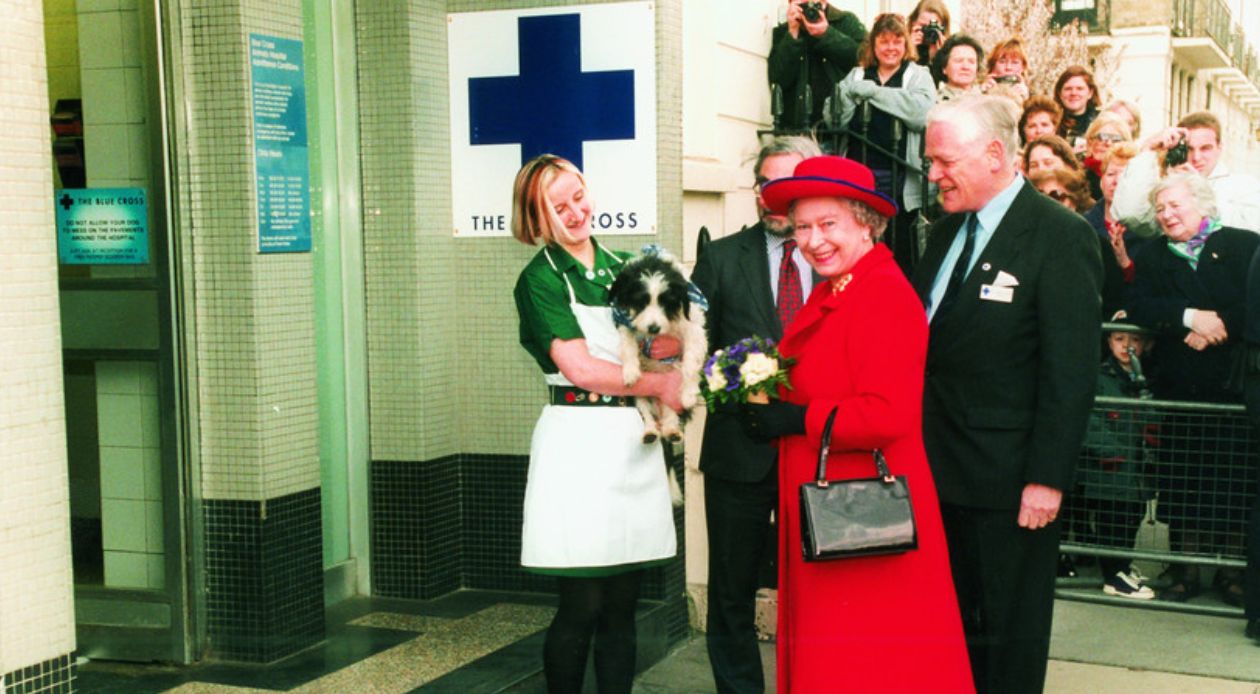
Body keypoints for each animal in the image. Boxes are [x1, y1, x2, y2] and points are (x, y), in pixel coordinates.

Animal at [609, 248, 710, 445]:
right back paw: (650, 432)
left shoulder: (693, 326)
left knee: (670, 414)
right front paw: (630, 371)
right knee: (646, 413)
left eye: (666, 302)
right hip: (641, 397)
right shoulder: (625, 321)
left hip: (668, 398)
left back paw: (672, 431)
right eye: (641, 301)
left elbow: (690, 362)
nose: (654, 328)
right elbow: (628, 344)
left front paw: (689, 394)